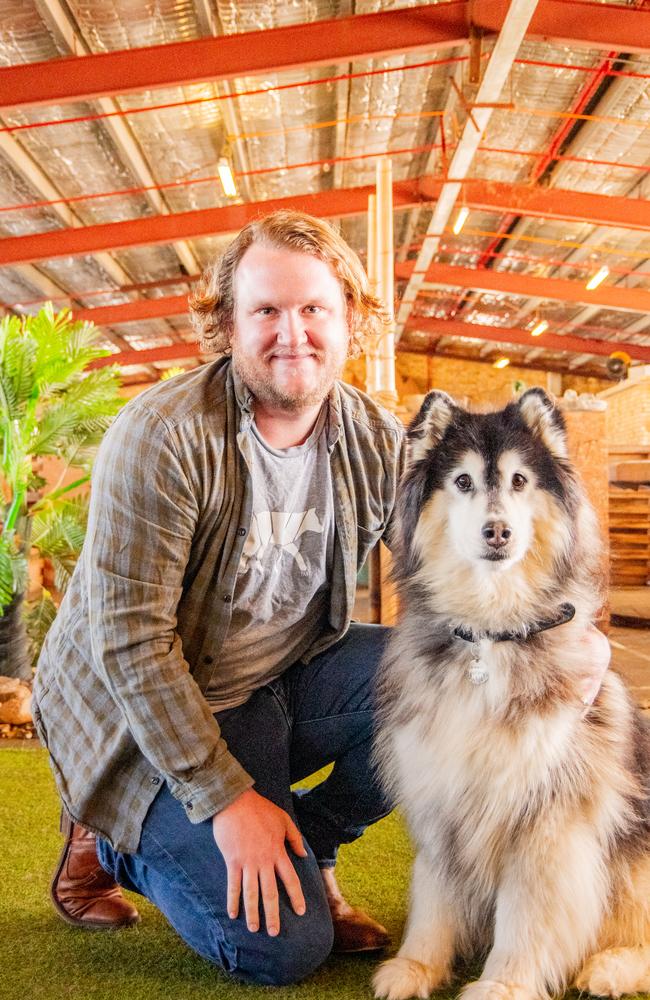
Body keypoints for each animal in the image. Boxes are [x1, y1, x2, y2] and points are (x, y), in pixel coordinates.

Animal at [370, 386, 648, 1000]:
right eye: (463, 482)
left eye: (519, 481)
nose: (497, 531)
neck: (490, 634)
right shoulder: (441, 793)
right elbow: (433, 897)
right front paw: (416, 965)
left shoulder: (546, 819)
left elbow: (527, 915)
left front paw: (503, 983)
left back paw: (613, 966)